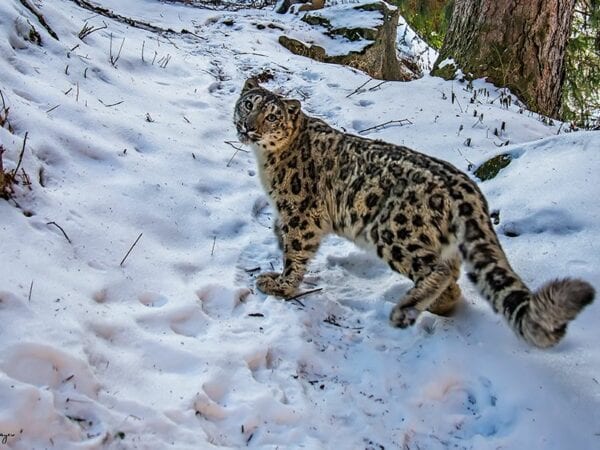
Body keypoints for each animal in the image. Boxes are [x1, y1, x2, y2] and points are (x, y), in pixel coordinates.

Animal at [232, 78, 592, 348]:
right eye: (249, 105)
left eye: (272, 116)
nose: (248, 127)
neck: (266, 161)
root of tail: (468, 189)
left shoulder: (298, 213)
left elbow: (295, 252)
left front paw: (280, 285)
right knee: (453, 275)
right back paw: (437, 306)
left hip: (394, 231)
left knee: (438, 270)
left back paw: (405, 310)